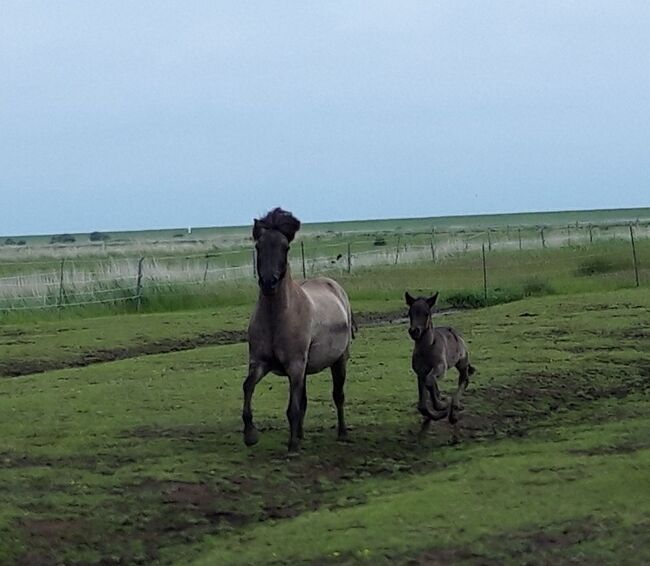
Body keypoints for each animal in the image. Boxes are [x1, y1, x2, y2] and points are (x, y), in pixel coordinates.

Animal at [243, 209, 354, 452]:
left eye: (285, 247)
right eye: (258, 246)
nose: (269, 282)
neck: (277, 318)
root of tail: (334, 286)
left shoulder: (294, 366)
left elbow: (292, 407)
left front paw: (292, 445)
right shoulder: (260, 363)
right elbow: (247, 387)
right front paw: (250, 435)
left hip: (339, 360)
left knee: (338, 395)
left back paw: (342, 433)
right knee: (303, 400)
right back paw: (301, 434)